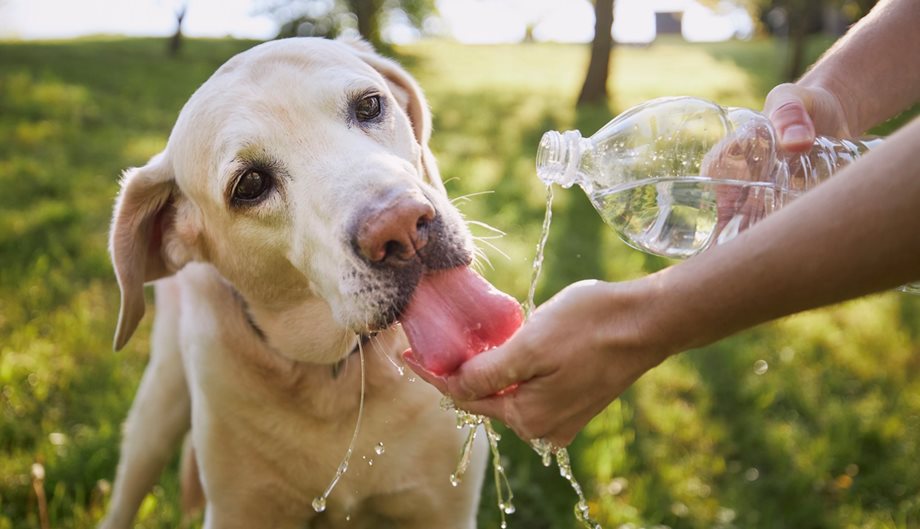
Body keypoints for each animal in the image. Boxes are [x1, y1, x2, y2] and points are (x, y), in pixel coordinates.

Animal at [99, 38, 492, 528]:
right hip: (159, 402)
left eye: (369, 106)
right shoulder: (237, 511)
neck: (336, 376)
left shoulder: (443, 509)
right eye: (250, 183)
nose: (400, 226)